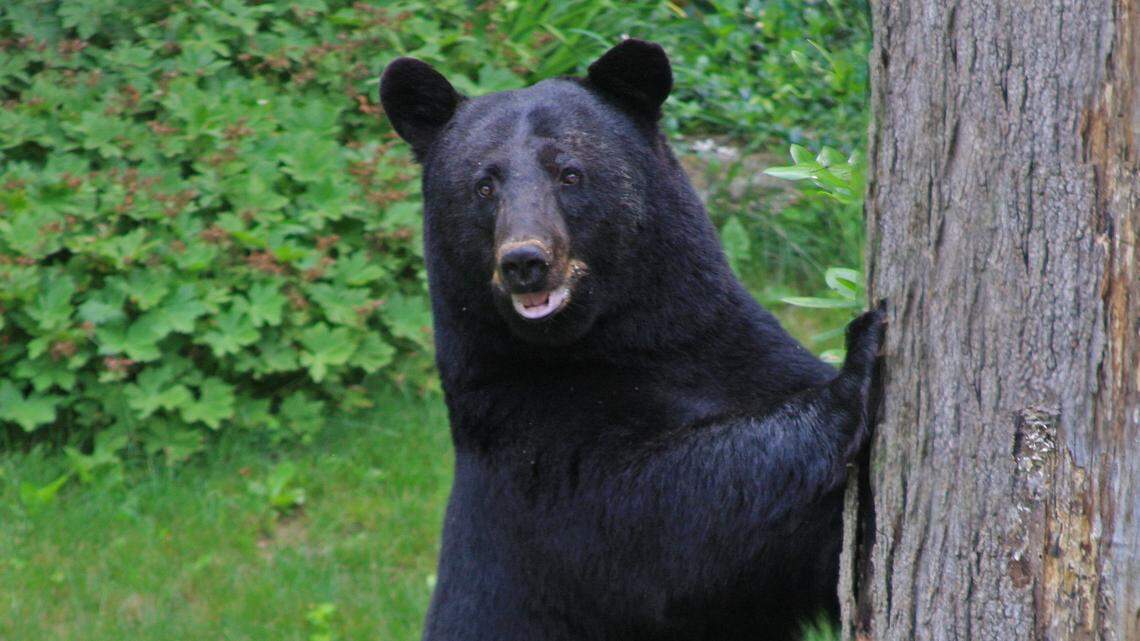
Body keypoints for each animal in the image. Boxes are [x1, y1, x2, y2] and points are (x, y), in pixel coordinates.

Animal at [379, 39, 886, 641]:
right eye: (483, 185)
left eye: (569, 173)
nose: (524, 261)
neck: (619, 342)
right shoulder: (528, 444)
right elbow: (671, 519)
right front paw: (857, 364)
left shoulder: (739, 351)